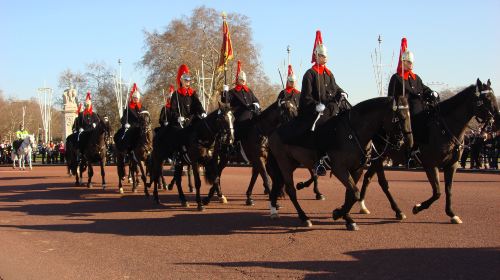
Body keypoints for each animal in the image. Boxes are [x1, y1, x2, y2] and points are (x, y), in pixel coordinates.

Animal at [268, 94, 412, 230]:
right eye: (399, 117)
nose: (408, 142)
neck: (353, 133)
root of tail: (274, 131)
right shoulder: (339, 169)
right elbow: (355, 192)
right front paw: (340, 214)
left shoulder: (357, 169)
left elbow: (351, 193)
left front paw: (345, 216)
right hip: (285, 164)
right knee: (290, 190)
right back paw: (304, 217)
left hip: (292, 164)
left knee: (279, 183)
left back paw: (275, 209)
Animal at [358, 79, 498, 223]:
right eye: (487, 98)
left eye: (493, 96)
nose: (497, 120)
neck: (444, 128)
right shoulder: (431, 165)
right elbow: (437, 192)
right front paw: (417, 207)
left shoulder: (451, 165)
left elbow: (448, 190)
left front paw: (451, 213)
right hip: (379, 156)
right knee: (382, 183)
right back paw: (397, 211)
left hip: (380, 157)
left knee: (368, 177)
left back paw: (363, 205)